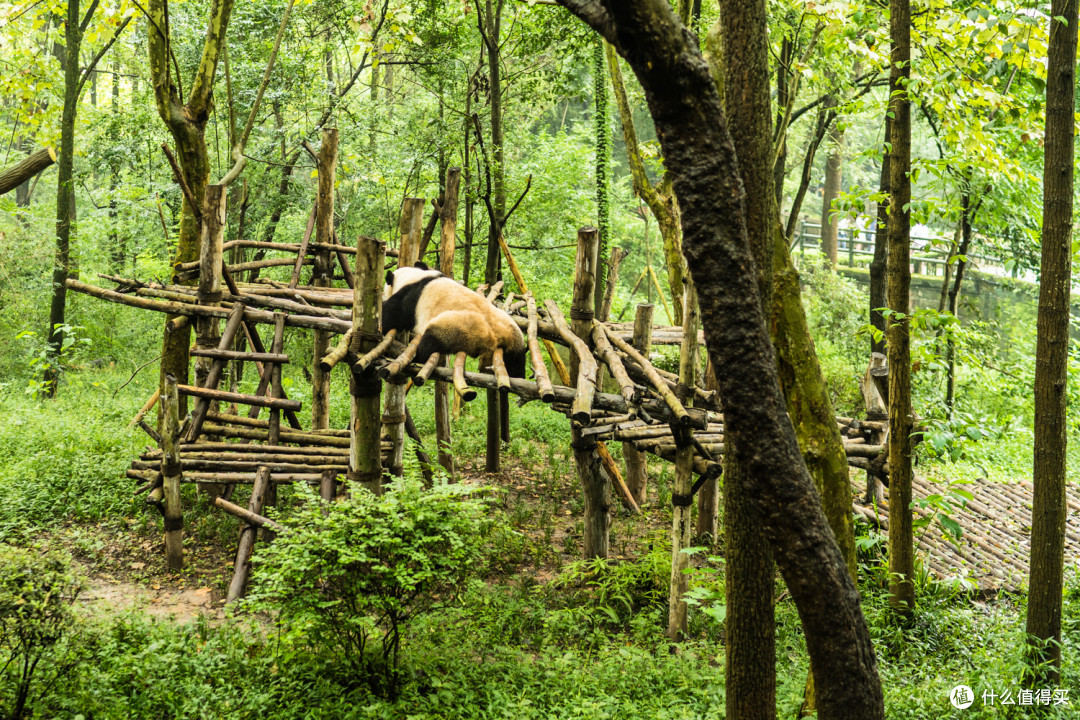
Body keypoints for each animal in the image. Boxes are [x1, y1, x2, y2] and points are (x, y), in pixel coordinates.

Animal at [384, 262, 527, 379]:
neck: (414, 276)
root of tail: (496, 339)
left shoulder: (410, 297)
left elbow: (393, 315)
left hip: (458, 327)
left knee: (430, 341)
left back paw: (417, 358)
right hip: (514, 336)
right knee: (517, 361)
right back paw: (518, 375)